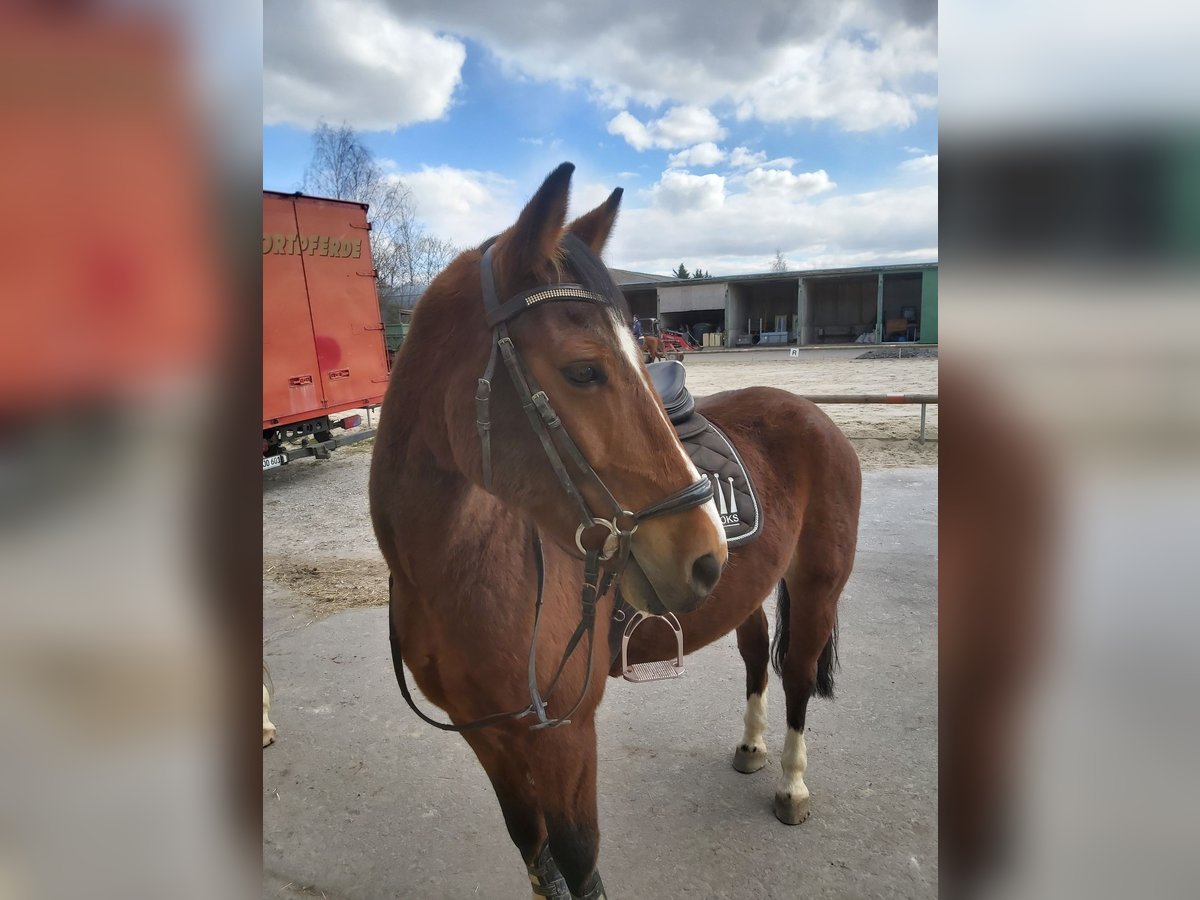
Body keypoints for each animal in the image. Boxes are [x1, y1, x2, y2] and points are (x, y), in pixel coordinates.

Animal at [369, 164, 859, 900]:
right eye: (584, 369)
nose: (703, 553)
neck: (461, 570)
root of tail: (813, 414)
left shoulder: (567, 738)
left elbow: (579, 861)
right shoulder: (490, 740)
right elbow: (533, 851)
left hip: (819, 584)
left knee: (797, 674)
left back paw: (793, 786)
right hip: (747, 589)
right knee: (755, 656)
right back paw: (750, 747)